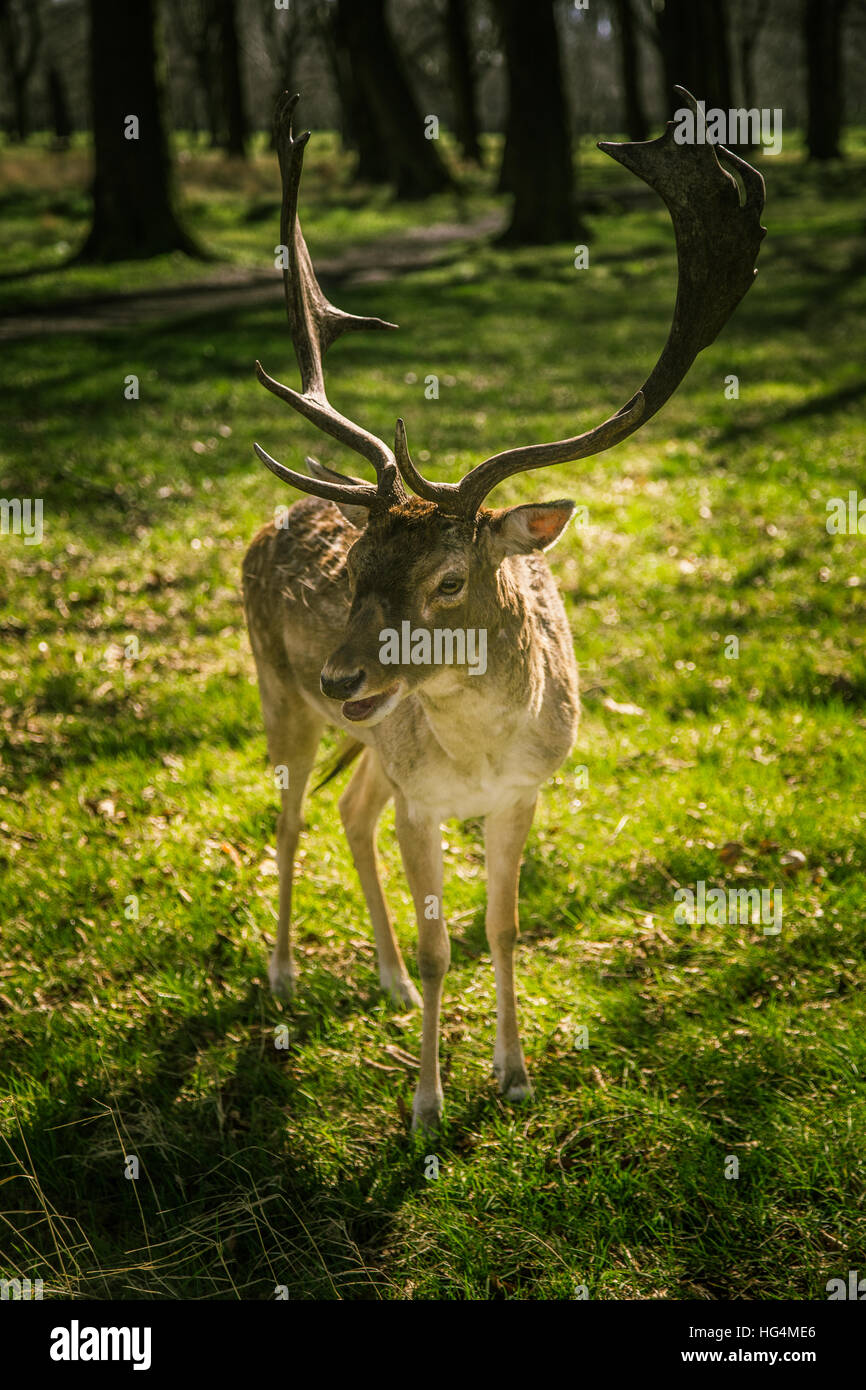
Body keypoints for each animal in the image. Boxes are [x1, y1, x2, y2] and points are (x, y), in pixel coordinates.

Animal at [240, 89, 761, 1128]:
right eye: (357, 566)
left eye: (449, 579)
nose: (342, 674)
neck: (479, 755)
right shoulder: (424, 800)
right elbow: (447, 943)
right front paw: (427, 1106)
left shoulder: (525, 791)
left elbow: (505, 929)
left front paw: (514, 1076)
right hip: (280, 695)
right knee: (290, 814)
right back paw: (283, 974)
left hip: (367, 739)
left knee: (349, 810)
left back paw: (390, 983)